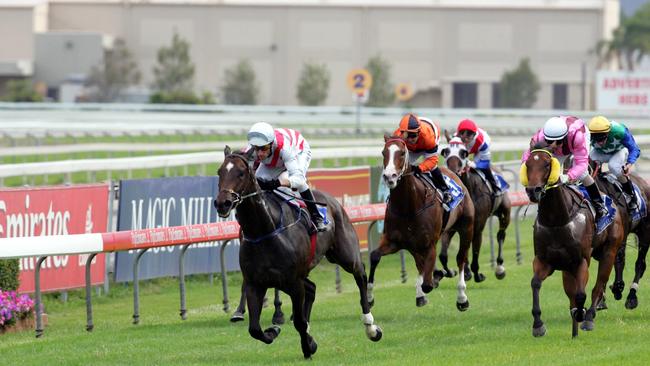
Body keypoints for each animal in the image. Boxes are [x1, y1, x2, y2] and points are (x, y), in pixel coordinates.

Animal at [215, 147, 382, 358]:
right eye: (219, 172)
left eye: (241, 173)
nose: (222, 203)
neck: (265, 231)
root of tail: (333, 201)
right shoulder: (255, 283)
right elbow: (255, 329)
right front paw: (275, 331)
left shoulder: (294, 283)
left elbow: (300, 323)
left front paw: (308, 346)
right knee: (312, 288)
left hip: (346, 255)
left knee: (360, 276)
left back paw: (371, 325)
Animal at [368, 136, 474, 310]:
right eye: (383, 152)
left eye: (402, 153)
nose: (389, 177)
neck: (408, 206)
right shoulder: (394, 241)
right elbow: (374, 256)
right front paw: (369, 298)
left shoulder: (429, 244)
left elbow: (428, 283)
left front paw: (437, 276)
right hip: (414, 245)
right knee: (420, 263)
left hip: (466, 227)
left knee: (460, 258)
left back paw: (462, 298)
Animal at [440, 139, 512, 282]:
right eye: (446, 152)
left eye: (463, 153)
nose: (453, 171)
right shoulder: (452, 227)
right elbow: (444, 255)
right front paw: (458, 272)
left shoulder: (478, 226)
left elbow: (474, 249)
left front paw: (477, 274)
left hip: (505, 213)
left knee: (500, 235)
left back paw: (499, 268)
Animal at [520, 147, 624, 336]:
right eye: (528, 164)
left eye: (547, 164)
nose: (533, 190)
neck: (556, 221)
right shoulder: (544, 260)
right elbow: (535, 283)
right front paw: (538, 324)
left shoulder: (581, 260)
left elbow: (581, 293)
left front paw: (581, 314)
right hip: (567, 267)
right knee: (571, 291)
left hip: (609, 251)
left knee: (598, 286)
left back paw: (589, 317)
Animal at [588, 162, 648, 308]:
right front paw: (601, 300)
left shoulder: (619, 236)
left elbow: (619, 259)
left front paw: (617, 287)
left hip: (645, 234)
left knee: (640, 264)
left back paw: (631, 297)